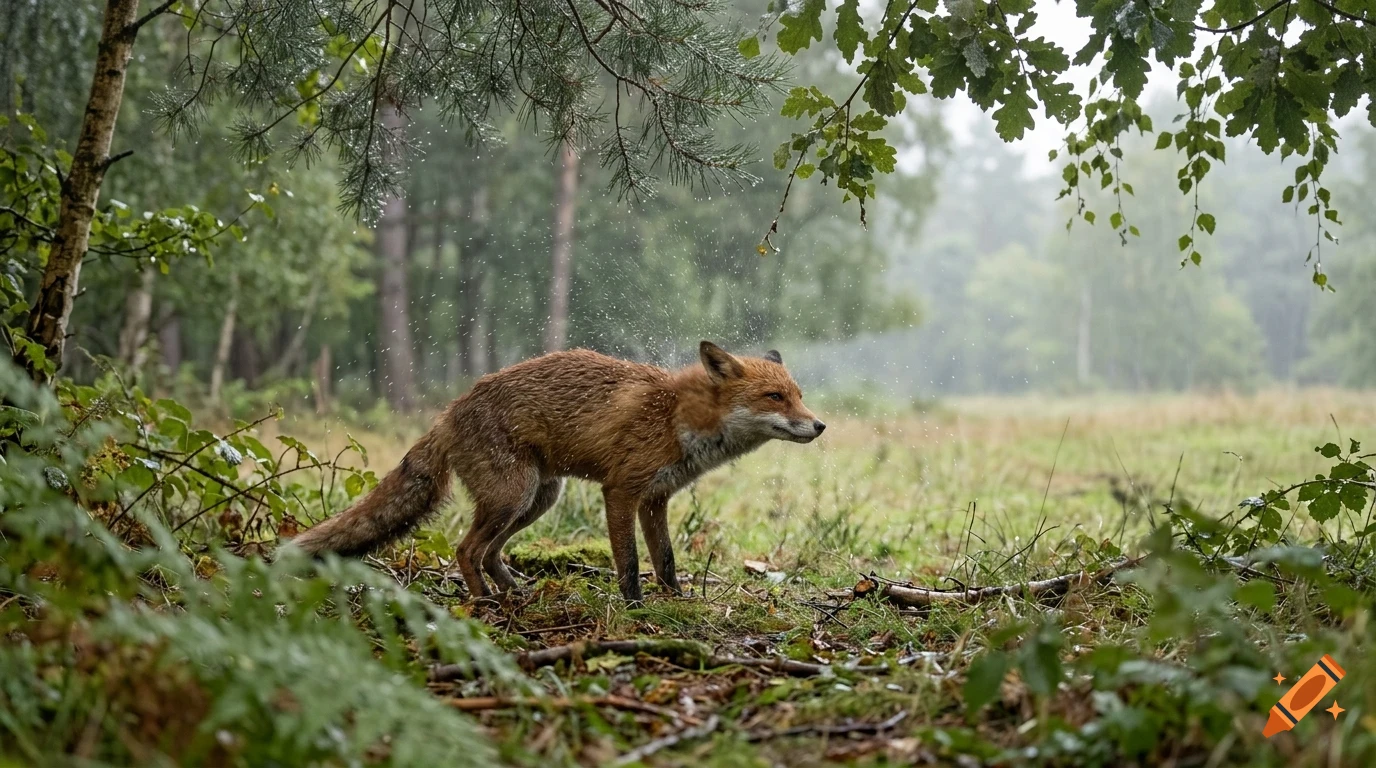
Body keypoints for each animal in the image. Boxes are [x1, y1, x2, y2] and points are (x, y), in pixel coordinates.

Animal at [290, 341, 825, 603]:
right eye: (775, 397)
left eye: (798, 394)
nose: (819, 425)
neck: (678, 417)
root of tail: (448, 411)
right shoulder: (621, 491)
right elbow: (630, 563)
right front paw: (635, 609)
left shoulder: (656, 498)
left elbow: (667, 561)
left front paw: (679, 601)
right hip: (512, 495)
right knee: (466, 550)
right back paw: (485, 604)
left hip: (537, 500)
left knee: (489, 553)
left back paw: (516, 594)